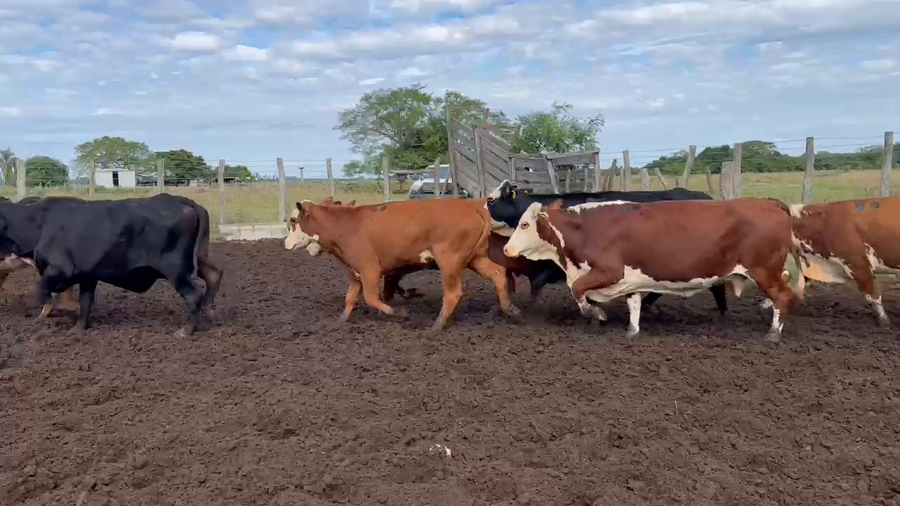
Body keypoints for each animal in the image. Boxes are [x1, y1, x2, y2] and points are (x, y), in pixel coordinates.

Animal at [0, 194, 223, 337]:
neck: (38, 222)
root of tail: (185, 201)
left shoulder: (61, 270)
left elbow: (41, 290)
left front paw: (56, 311)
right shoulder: (87, 275)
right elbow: (85, 302)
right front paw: (79, 328)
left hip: (175, 269)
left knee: (194, 294)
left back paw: (187, 330)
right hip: (199, 257)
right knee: (213, 275)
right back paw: (210, 311)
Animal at [284, 197, 520, 331]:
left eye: (293, 221)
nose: (286, 243)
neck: (345, 225)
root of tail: (472, 207)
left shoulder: (370, 270)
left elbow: (372, 298)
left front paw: (400, 313)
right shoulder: (355, 273)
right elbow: (350, 298)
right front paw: (340, 321)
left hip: (449, 262)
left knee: (453, 293)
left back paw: (437, 325)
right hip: (476, 258)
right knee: (499, 274)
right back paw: (508, 309)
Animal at [501, 198, 805, 341]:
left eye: (525, 224)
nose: (506, 249)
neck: (585, 229)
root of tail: (769, 203)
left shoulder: (610, 271)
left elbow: (578, 290)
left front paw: (596, 314)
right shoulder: (629, 279)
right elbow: (633, 303)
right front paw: (632, 330)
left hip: (762, 270)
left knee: (783, 296)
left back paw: (773, 333)